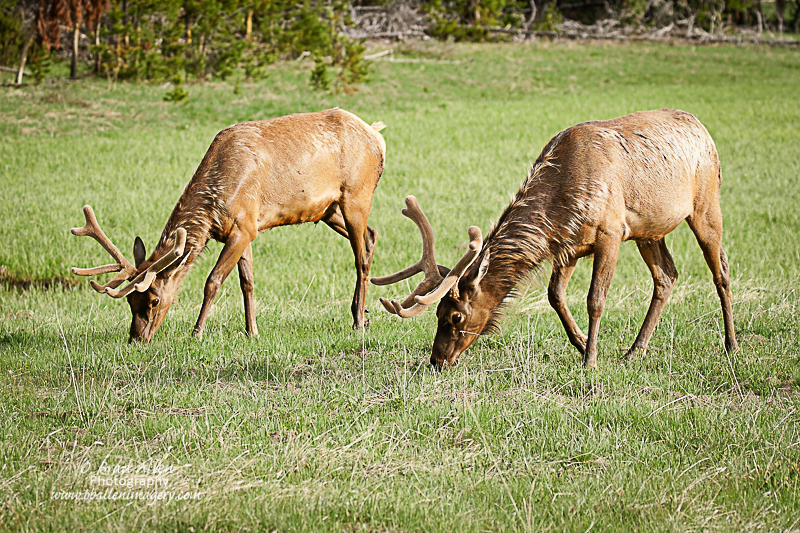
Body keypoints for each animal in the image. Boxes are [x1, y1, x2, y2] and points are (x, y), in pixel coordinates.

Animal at [70, 108, 390, 342]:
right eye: (130, 303)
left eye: (153, 300)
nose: (136, 339)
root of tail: (377, 135)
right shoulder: (244, 230)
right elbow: (247, 282)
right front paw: (252, 331)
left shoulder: (243, 227)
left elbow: (212, 281)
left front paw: (197, 331)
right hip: (328, 210)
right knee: (372, 236)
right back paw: (363, 314)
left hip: (357, 195)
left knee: (361, 258)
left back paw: (358, 321)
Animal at [376, 108, 736, 366]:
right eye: (437, 313)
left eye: (456, 316)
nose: (436, 360)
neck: (562, 201)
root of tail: (702, 128)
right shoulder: (568, 245)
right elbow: (555, 296)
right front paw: (581, 343)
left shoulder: (610, 232)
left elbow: (595, 299)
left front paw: (590, 359)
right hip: (649, 231)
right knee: (667, 276)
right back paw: (635, 350)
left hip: (706, 204)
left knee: (721, 270)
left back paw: (731, 344)